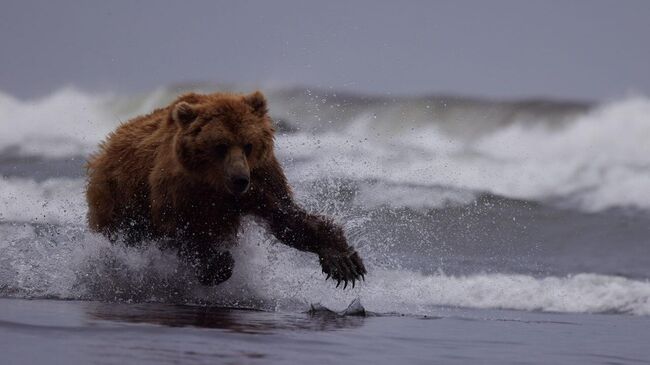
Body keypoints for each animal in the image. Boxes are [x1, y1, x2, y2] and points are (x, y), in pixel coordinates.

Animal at [87, 90, 364, 288]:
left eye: (248, 144)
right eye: (221, 146)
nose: (240, 179)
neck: (215, 184)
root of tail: (106, 144)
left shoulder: (261, 178)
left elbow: (286, 218)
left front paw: (344, 261)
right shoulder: (177, 189)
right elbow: (179, 230)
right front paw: (218, 263)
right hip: (118, 201)